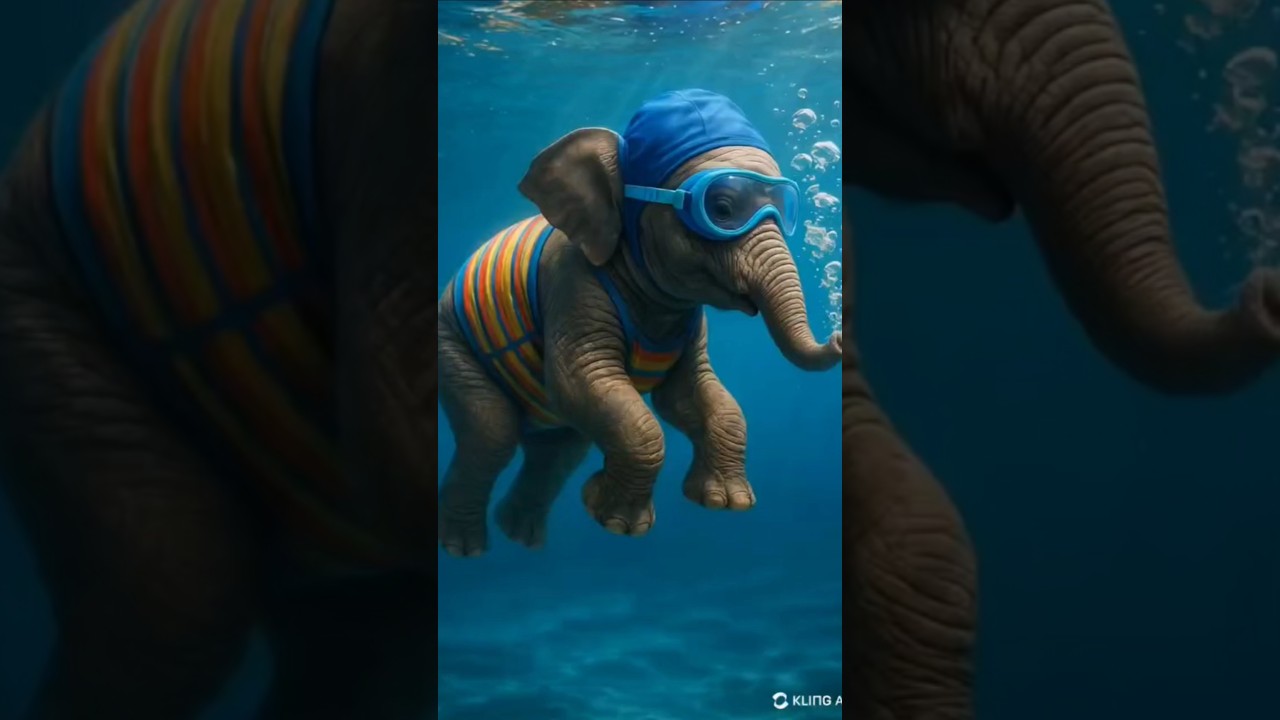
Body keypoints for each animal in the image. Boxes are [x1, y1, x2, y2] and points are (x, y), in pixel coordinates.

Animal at [436, 89, 842, 558]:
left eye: (785, 210)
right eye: (722, 208)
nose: (838, 334)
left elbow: (695, 397)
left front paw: (725, 502)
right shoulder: (572, 284)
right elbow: (585, 386)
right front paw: (615, 521)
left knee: (559, 448)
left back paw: (519, 534)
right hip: (452, 346)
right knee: (493, 433)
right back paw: (463, 547)